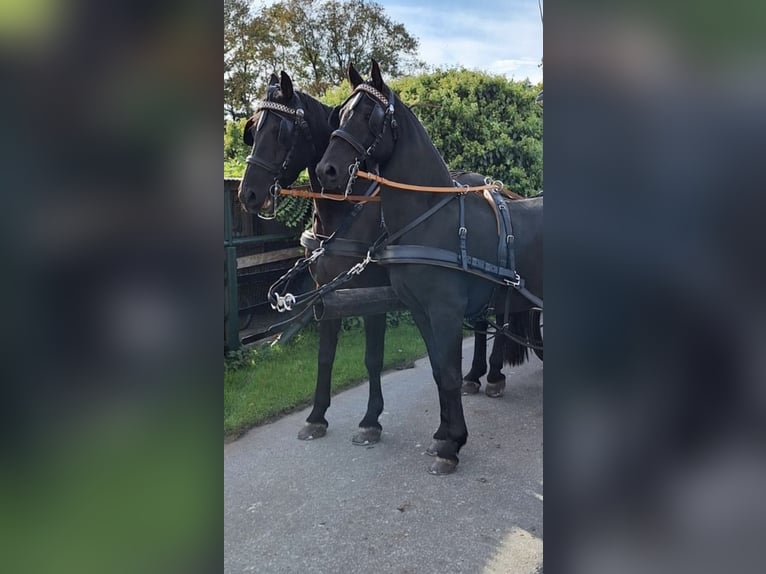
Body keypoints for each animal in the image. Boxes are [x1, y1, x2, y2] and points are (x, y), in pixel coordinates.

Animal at [237, 72, 520, 448]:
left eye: (281, 131)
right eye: (253, 129)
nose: (248, 194)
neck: (347, 213)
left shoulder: (372, 296)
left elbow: (373, 358)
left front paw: (371, 420)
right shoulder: (326, 293)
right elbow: (325, 357)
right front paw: (316, 416)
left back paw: (494, 376)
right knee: (480, 322)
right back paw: (474, 375)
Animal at [318, 62, 544, 476]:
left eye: (369, 115)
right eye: (339, 114)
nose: (328, 170)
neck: (429, 218)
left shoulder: (446, 311)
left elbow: (451, 374)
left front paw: (452, 446)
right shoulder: (422, 311)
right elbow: (440, 372)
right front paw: (444, 435)